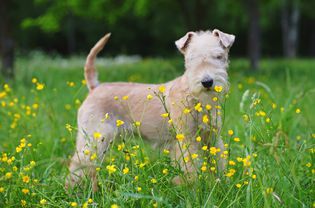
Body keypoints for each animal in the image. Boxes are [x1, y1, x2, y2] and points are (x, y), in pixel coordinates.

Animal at [66, 28, 235, 190]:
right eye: (191, 59)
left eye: (219, 56)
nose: (207, 82)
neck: (194, 96)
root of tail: (94, 87)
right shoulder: (187, 139)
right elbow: (191, 168)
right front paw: (194, 189)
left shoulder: (212, 137)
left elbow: (218, 162)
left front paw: (222, 184)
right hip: (95, 138)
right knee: (77, 166)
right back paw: (73, 191)